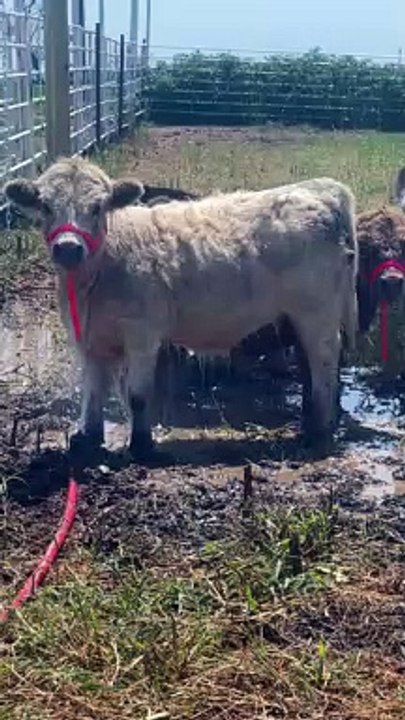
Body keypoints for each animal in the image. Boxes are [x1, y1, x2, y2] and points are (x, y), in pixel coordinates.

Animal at [4, 157, 358, 461]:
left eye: (97, 207)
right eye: (46, 206)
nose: (68, 248)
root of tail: (319, 189)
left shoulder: (143, 335)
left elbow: (137, 395)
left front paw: (141, 446)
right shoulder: (90, 338)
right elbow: (93, 390)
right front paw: (87, 439)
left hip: (318, 313)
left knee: (324, 361)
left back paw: (319, 430)